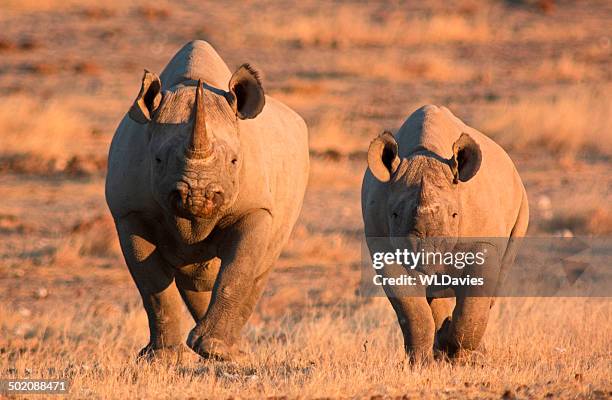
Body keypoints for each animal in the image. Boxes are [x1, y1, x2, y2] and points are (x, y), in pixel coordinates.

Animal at [105, 40, 310, 360]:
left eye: (235, 161)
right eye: (158, 160)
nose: (198, 196)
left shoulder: (256, 208)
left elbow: (237, 271)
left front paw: (214, 350)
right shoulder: (130, 212)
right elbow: (152, 285)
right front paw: (162, 357)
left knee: (258, 268)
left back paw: (230, 353)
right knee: (195, 277)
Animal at [360, 104, 528, 360]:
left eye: (455, 215)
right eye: (395, 215)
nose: (427, 265)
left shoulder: (483, 243)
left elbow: (472, 304)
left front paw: (458, 354)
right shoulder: (383, 247)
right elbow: (412, 310)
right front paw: (421, 362)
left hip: (521, 204)